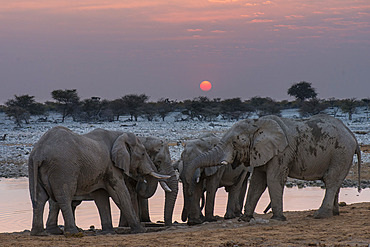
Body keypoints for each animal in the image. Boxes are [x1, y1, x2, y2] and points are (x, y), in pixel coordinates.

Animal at [28, 127, 171, 235]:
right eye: (142, 154)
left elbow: (101, 196)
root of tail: (39, 152)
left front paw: (108, 232)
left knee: (39, 197)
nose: (142, 177)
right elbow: (120, 193)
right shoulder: (111, 166)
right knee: (64, 196)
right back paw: (72, 232)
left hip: (35, 167)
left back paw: (41, 233)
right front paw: (140, 230)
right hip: (63, 168)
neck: (119, 135)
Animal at [185, 115, 362, 222]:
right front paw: (246, 218)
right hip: (341, 155)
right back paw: (334, 213)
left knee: (331, 181)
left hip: (341, 152)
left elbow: (272, 179)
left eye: (235, 142)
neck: (258, 124)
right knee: (335, 181)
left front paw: (278, 219)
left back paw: (320, 216)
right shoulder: (261, 151)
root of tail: (352, 135)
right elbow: (258, 181)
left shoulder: (282, 152)